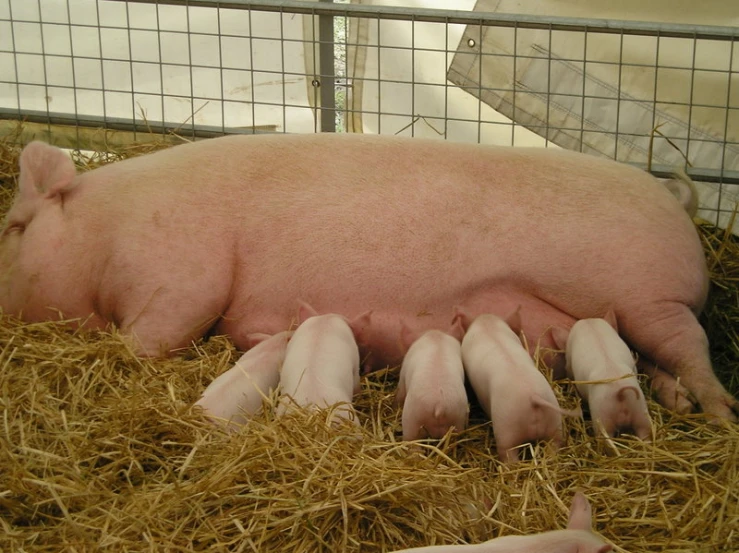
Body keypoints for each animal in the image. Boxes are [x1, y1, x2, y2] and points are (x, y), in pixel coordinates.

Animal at [2, 134, 736, 418]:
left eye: (12, 227)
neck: (103, 227)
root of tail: (675, 198)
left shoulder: (179, 275)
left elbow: (151, 338)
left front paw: (118, 353)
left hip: (653, 297)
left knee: (692, 350)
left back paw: (721, 415)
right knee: (660, 365)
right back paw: (679, 405)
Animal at [454, 308, 580, 464]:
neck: (489, 328)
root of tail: (533, 397)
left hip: (507, 429)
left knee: (509, 456)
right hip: (554, 423)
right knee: (554, 445)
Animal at [556, 310, 652, 440]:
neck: (590, 324)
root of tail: (620, 393)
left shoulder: (569, 360)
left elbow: (568, 370)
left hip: (602, 415)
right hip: (640, 410)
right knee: (645, 433)